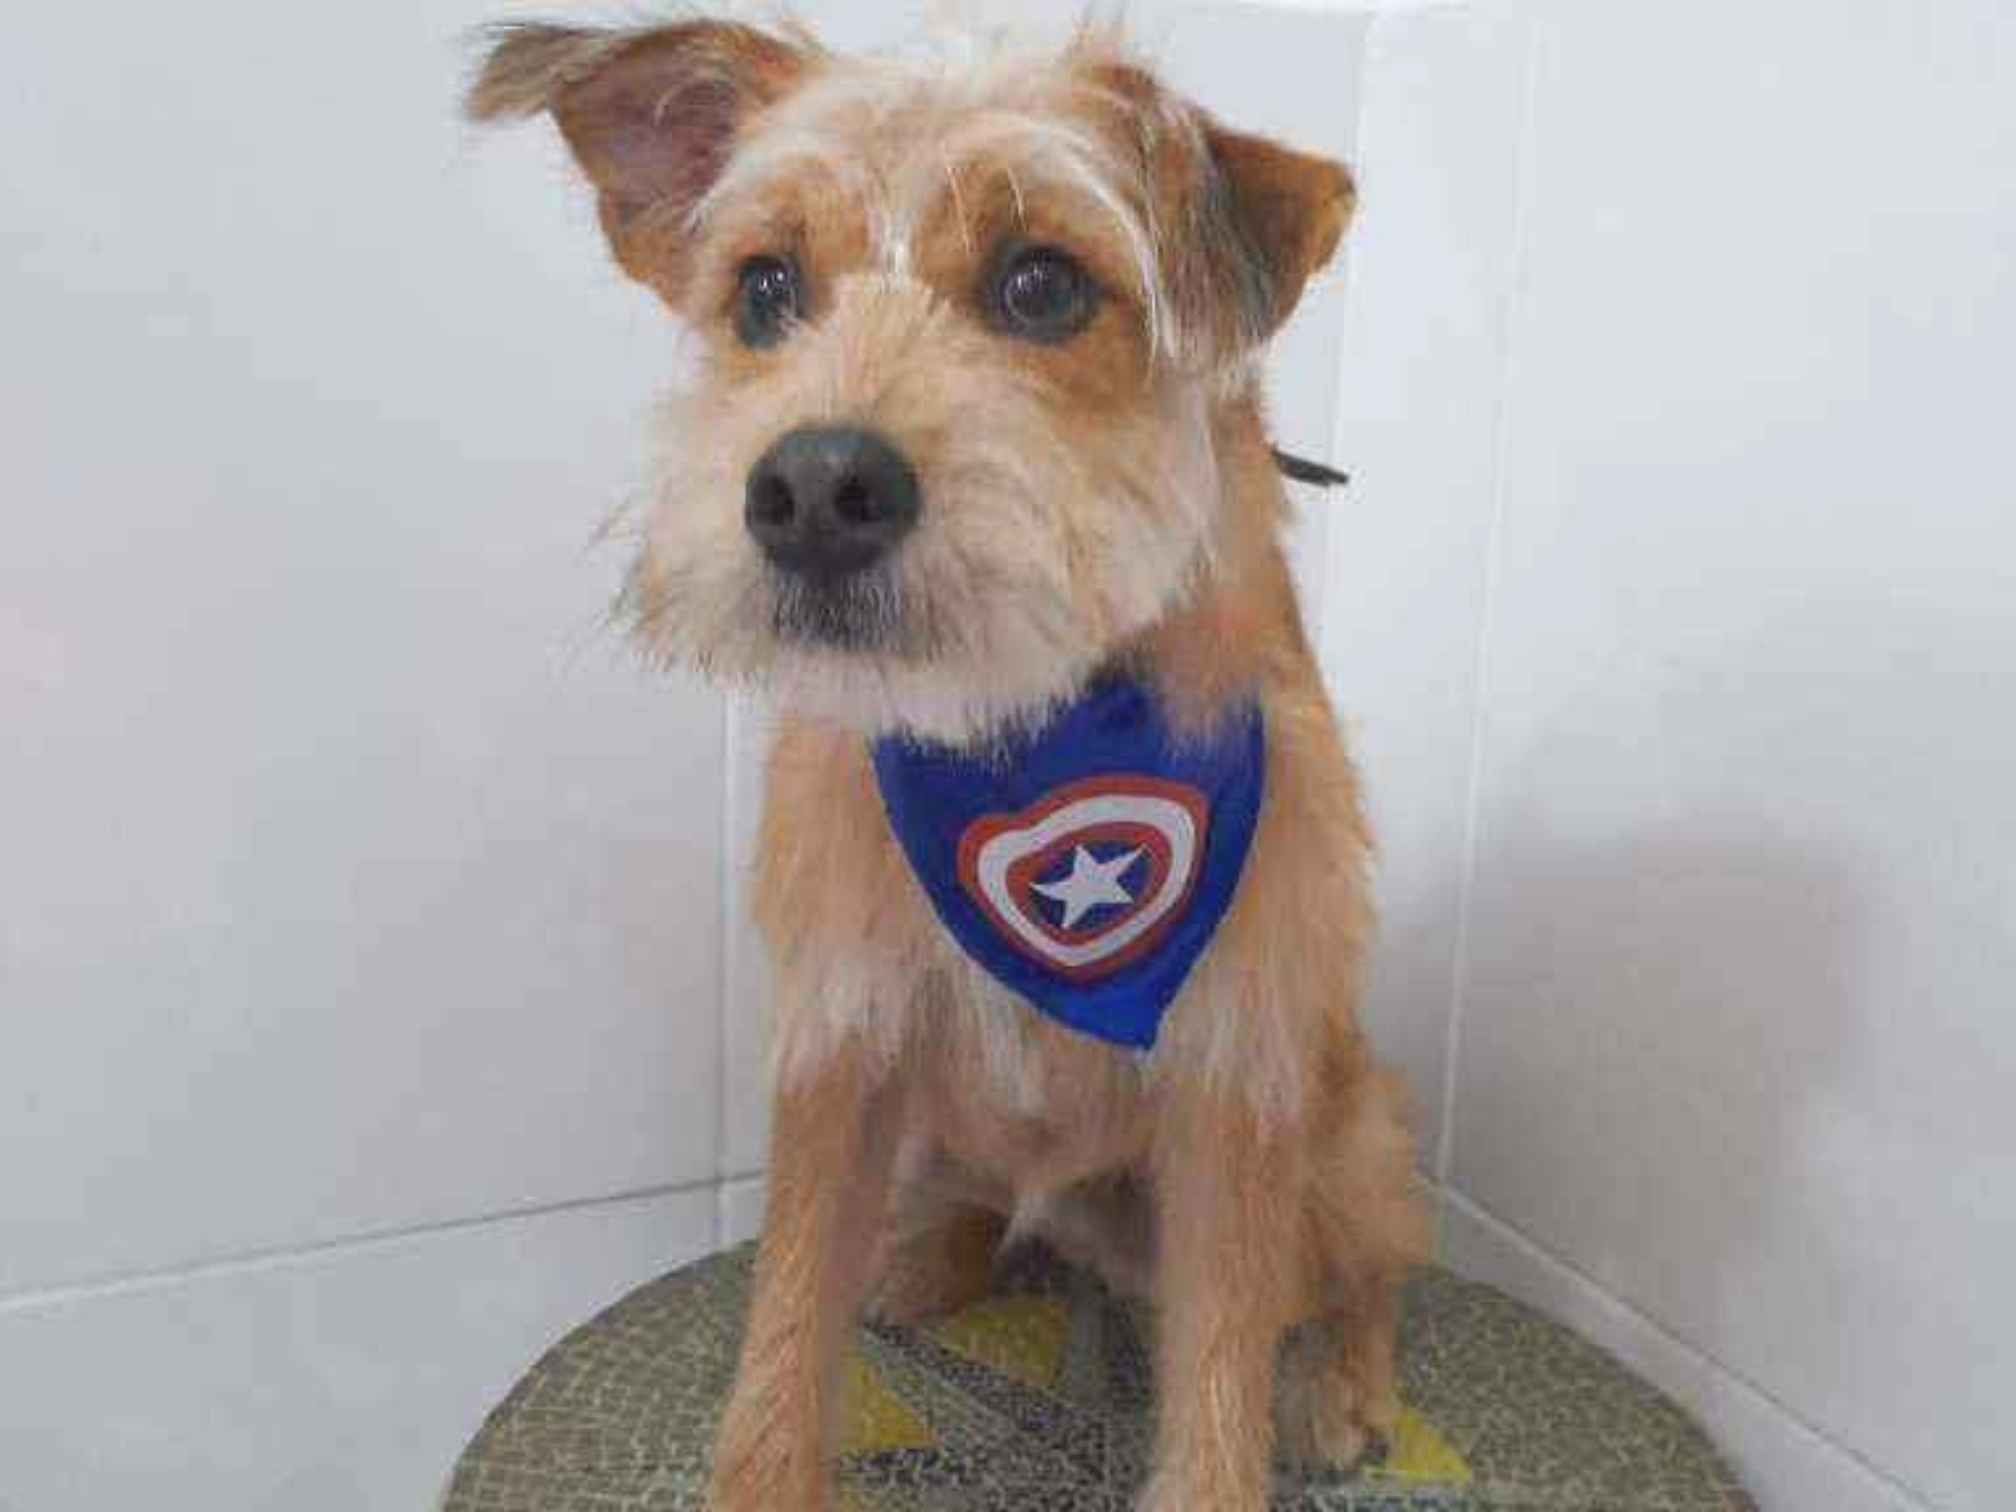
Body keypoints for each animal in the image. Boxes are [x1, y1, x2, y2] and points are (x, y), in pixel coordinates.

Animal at [468, 16, 1430, 1509]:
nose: (811, 488)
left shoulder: (1237, 1089)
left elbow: (1221, 1369)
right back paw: (920, 1252)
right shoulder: (841, 1046)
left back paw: (1343, 1382)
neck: (1024, 725)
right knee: (972, 1210)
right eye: (765, 290)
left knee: (1364, 1263)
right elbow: (786, 1327)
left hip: (1349, 1127)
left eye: (1040, 283)